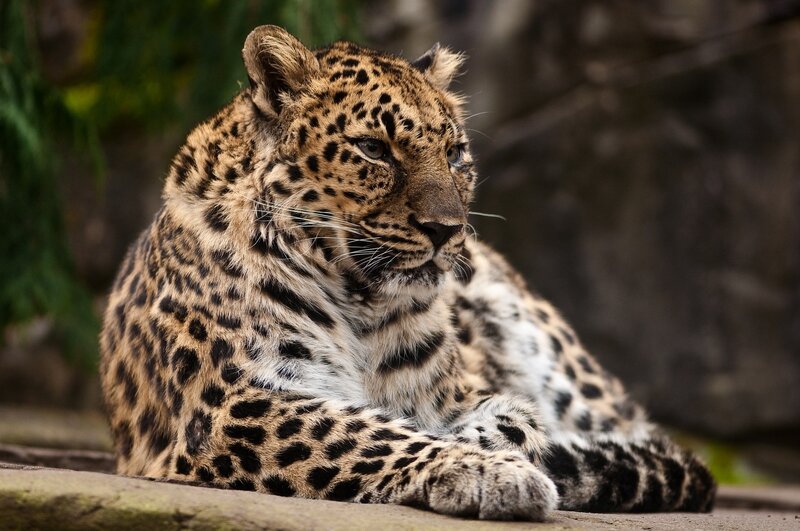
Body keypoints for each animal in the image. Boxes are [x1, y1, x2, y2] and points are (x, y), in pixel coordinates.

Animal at [99, 25, 716, 521]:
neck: (358, 301)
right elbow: (361, 434)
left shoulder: (462, 393)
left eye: (456, 153)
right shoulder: (233, 404)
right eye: (374, 149)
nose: (447, 229)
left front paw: (491, 449)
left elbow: (508, 419)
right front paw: (491, 471)